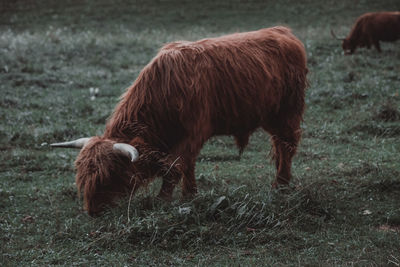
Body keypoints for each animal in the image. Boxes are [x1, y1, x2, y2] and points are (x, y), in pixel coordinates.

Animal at [51, 26, 308, 217]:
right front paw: (189, 194)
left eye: (110, 174)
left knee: (286, 146)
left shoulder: (193, 134)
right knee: (279, 147)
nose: (92, 210)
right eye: (82, 175)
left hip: (287, 114)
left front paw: (163, 199)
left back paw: (281, 185)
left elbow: (174, 167)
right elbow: (188, 166)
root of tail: (282, 31)